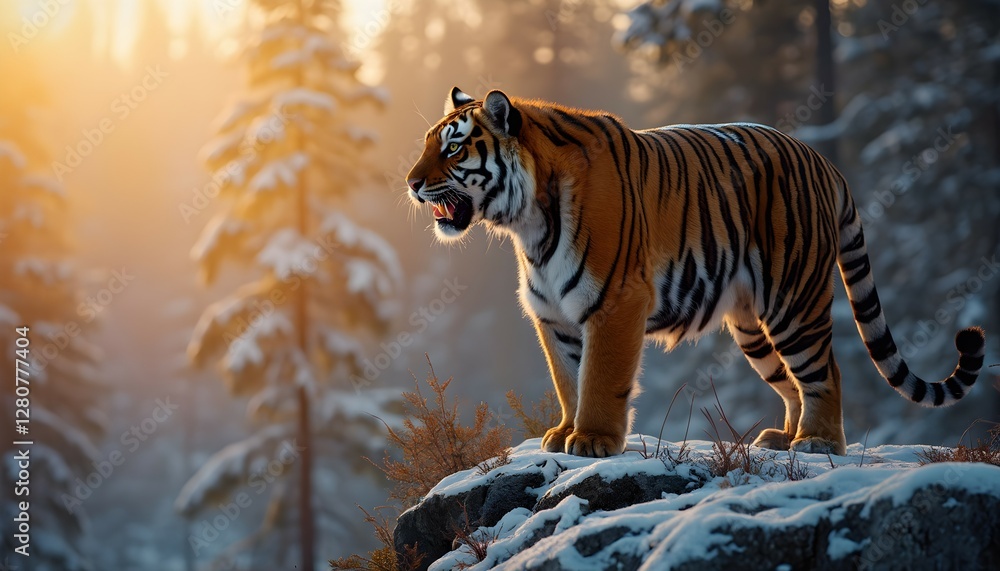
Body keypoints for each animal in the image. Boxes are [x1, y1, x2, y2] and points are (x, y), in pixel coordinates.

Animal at [405, 87, 986, 457]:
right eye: (427, 143)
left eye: (453, 148)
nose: (411, 182)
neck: (528, 223)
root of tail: (822, 161)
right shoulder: (553, 317)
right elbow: (567, 379)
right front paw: (563, 432)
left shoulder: (614, 303)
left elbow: (598, 379)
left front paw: (592, 440)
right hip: (753, 326)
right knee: (793, 380)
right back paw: (784, 437)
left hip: (793, 300)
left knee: (825, 372)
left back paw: (818, 442)